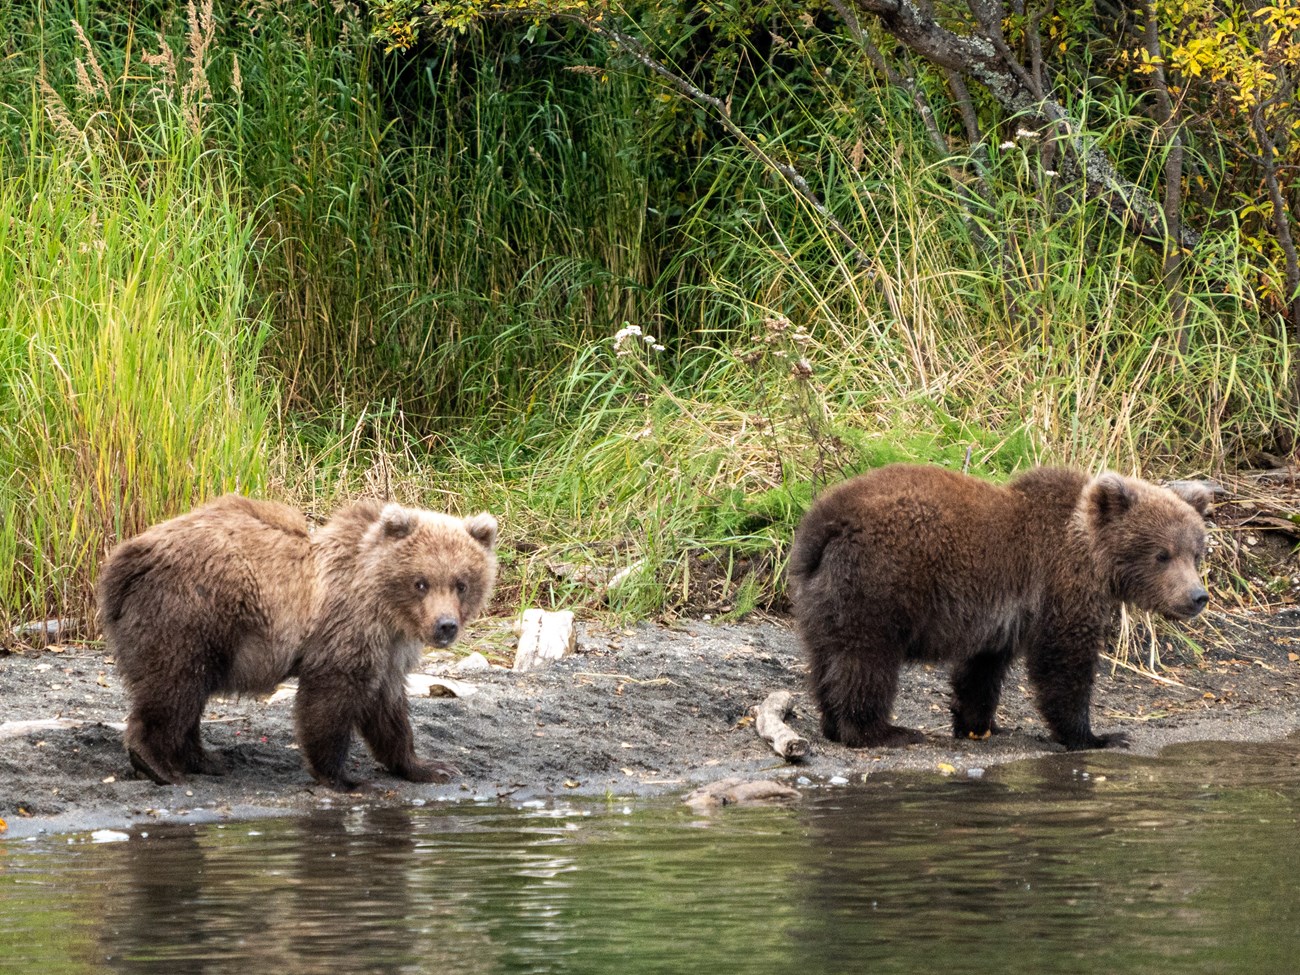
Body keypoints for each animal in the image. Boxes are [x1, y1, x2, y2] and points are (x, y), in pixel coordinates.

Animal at [97, 496, 496, 795]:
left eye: (461, 583)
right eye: (421, 582)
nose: (445, 626)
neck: (386, 608)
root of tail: (123, 559)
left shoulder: (389, 648)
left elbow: (388, 708)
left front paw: (430, 766)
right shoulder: (345, 628)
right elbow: (329, 699)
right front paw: (344, 778)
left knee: (187, 693)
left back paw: (206, 759)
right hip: (190, 611)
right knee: (174, 684)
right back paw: (159, 765)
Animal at [785, 470, 1211, 754]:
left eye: (1196, 552)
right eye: (1162, 554)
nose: (1197, 596)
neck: (1093, 555)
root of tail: (822, 521)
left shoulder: (999, 615)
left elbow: (980, 669)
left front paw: (979, 724)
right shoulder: (1058, 585)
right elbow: (1063, 660)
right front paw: (1095, 736)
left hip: (820, 597)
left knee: (825, 657)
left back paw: (832, 725)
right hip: (878, 583)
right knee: (865, 661)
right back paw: (880, 731)